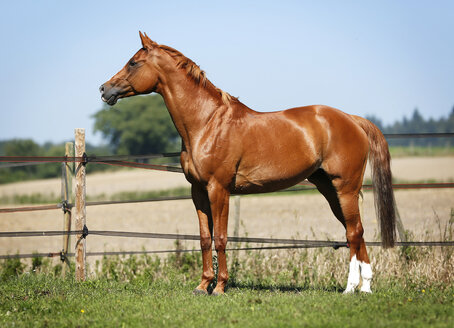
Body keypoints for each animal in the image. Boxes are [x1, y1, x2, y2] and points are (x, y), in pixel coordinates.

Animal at [100, 32, 398, 294]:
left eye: (133, 62)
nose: (104, 89)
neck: (207, 123)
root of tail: (352, 119)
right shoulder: (198, 191)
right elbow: (205, 238)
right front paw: (202, 286)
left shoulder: (218, 189)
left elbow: (221, 238)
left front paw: (220, 287)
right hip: (329, 189)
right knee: (355, 232)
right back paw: (365, 287)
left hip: (345, 188)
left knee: (354, 232)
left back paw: (350, 288)